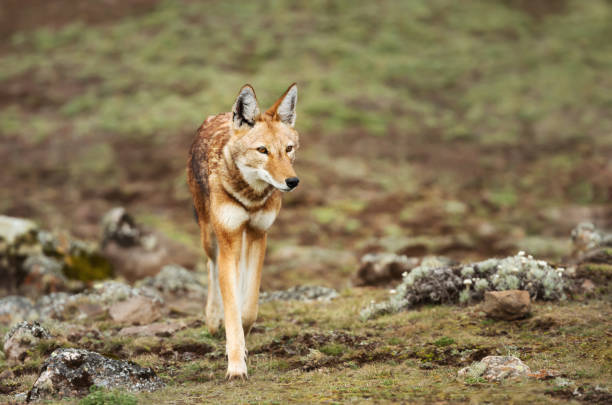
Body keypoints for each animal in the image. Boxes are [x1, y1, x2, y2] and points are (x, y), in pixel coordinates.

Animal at [188, 83, 300, 378]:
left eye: (288, 149)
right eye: (262, 150)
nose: (292, 181)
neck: (251, 196)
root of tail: (218, 115)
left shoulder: (259, 234)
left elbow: (247, 307)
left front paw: (241, 344)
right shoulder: (229, 237)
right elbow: (232, 307)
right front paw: (236, 366)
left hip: (243, 239)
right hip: (210, 235)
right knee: (212, 266)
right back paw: (213, 319)